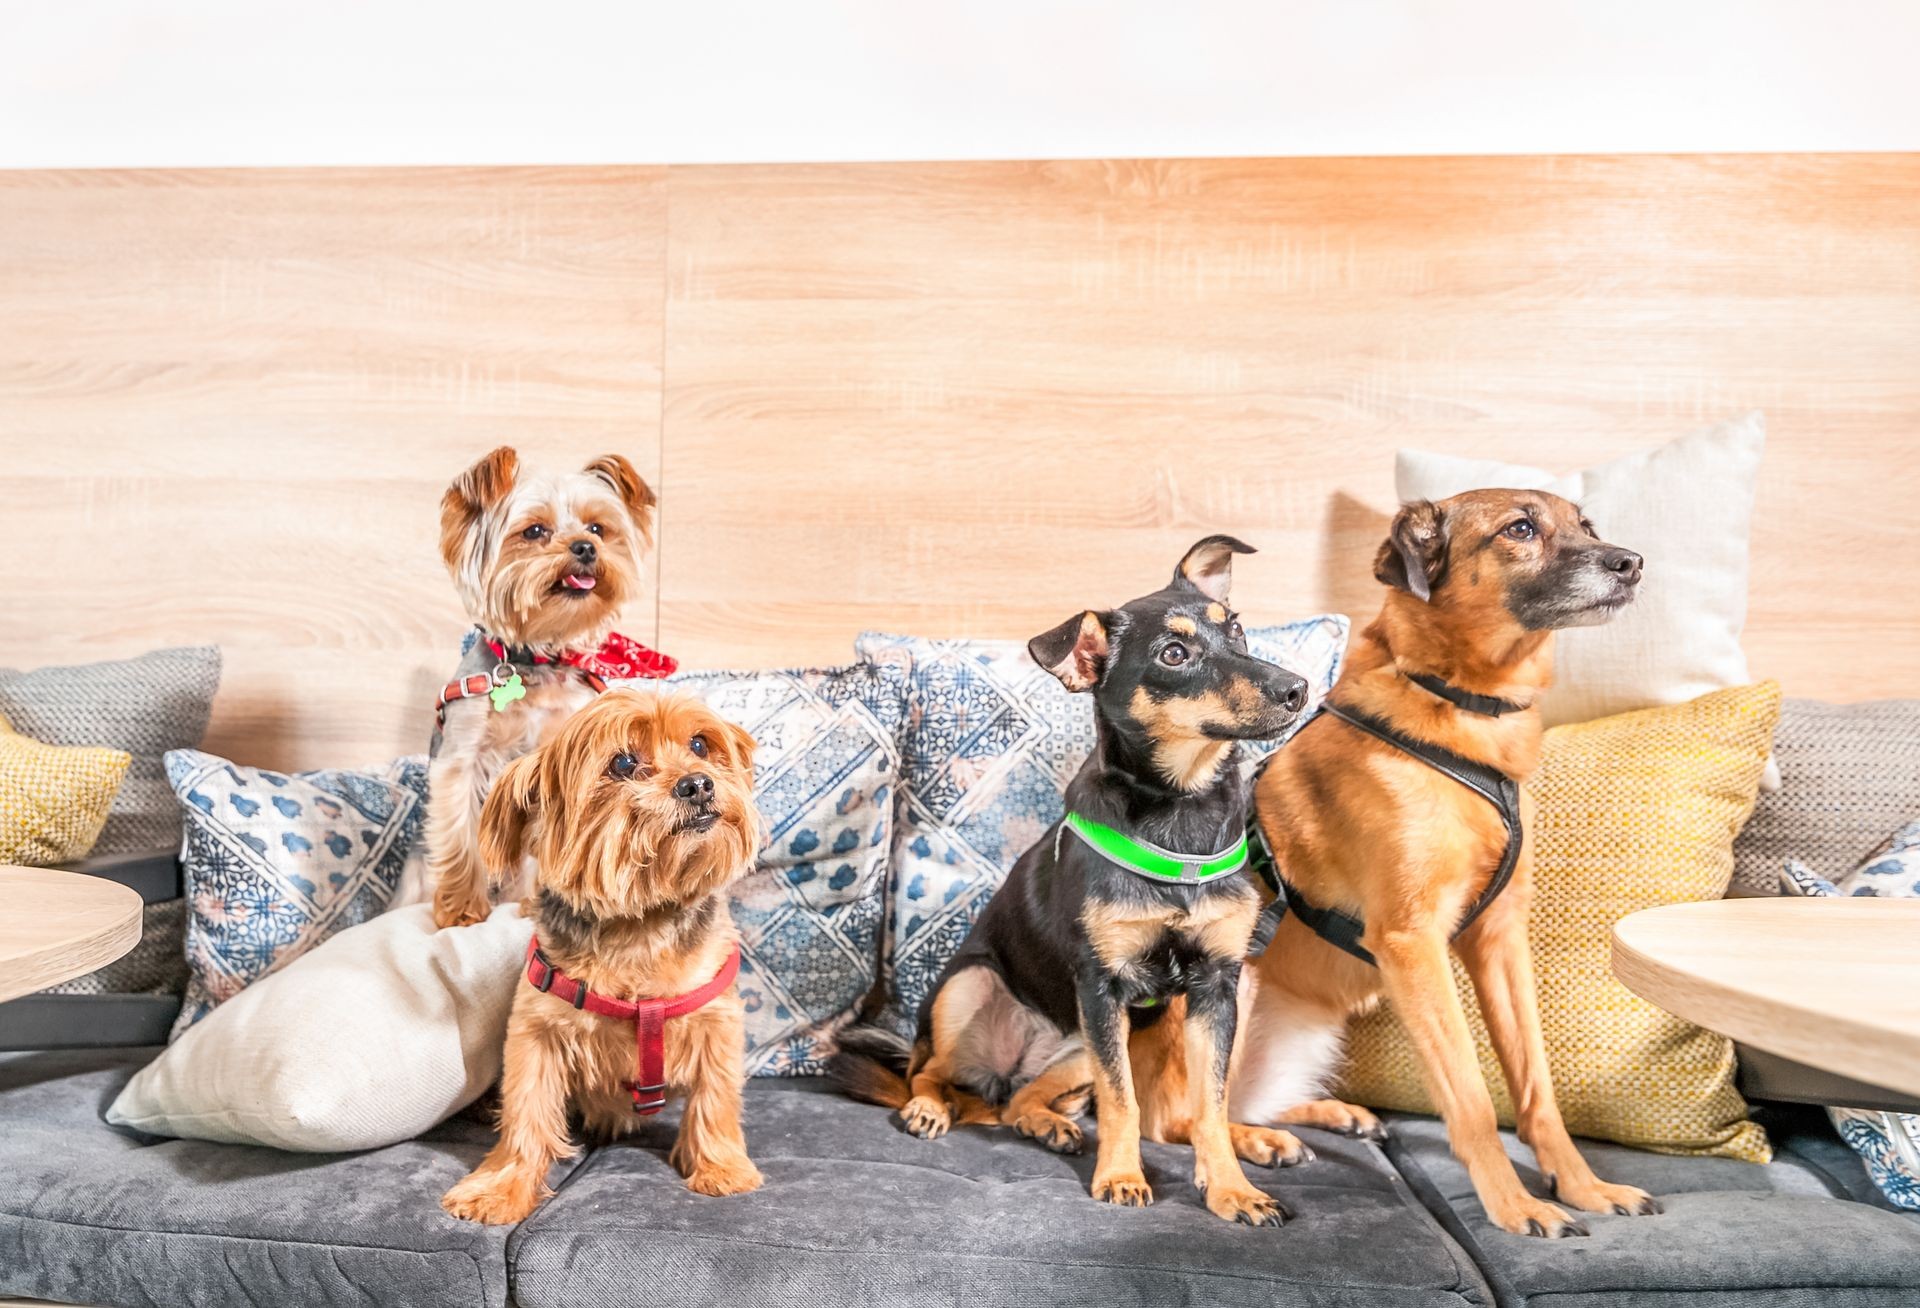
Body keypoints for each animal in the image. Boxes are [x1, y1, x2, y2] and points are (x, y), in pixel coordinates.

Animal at [439, 687, 760, 1221]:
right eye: (624, 762)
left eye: (699, 744)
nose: (698, 784)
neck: (640, 922)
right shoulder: (536, 1031)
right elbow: (526, 1109)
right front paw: (500, 1189)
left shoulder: (717, 1020)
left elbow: (716, 1096)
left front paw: (722, 1168)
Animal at [840, 537, 1320, 1221]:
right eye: (1174, 654)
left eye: (1236, 629)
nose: (1297, 689)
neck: (1183, 812)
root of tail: (1002, 1073)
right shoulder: (1101, 984)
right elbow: (1123, 1103)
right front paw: (1120, 1176)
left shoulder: (1213, 987)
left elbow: (1211, 1100)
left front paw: (1232, 1188)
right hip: (972, 986)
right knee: (927, 1075)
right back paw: (931, 1109)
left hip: (1086, 1045)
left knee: (1024, 1101)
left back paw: (1054, 1123)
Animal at [1228, 487, 1666, 1236]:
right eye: (1520, 528)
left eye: (1587, 526)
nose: (1632, 562)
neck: (1461, 703)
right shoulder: (1414, 944)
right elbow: (1471, 1098)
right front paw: (1516, 1205)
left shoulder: (1499, 941)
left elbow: (1536, 1088)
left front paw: (1583, 1186)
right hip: (1231, 987)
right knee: (1174, 1113)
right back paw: (1253, 1144)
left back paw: (1323, 1115)